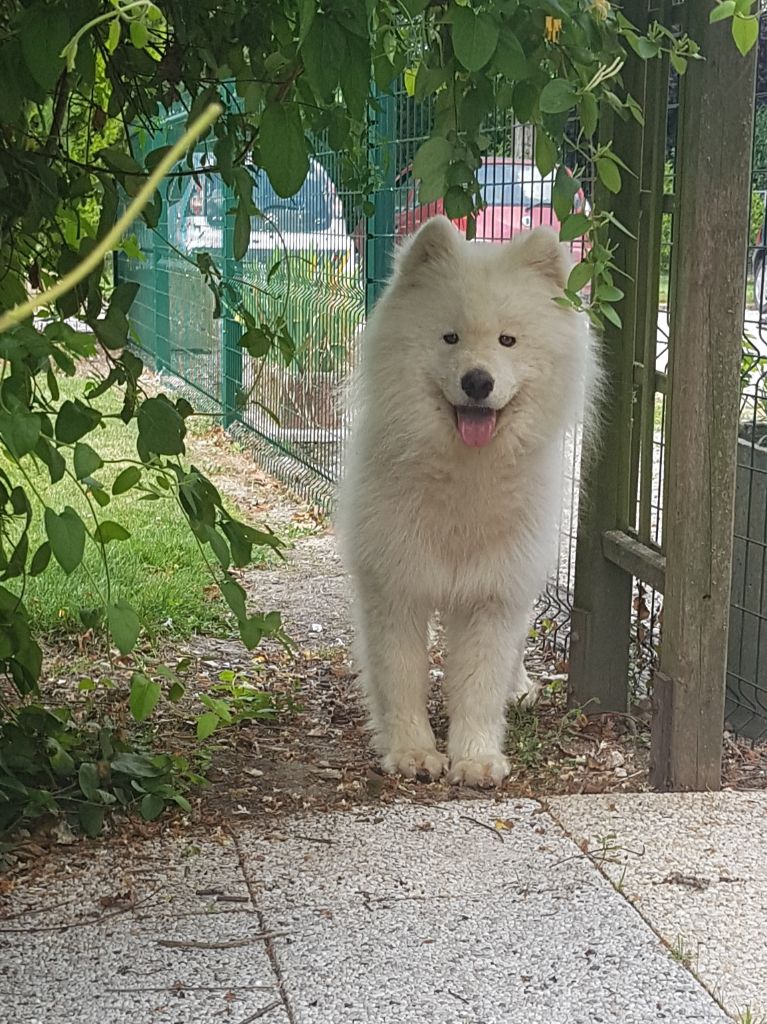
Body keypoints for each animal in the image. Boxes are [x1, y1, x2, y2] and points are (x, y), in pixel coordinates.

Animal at [336, 216, 597, 787]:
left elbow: (479, 685)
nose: (478, 381)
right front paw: (412, 752)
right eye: (450, 336)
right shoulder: (396, 586)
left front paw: (476, 758)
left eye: (508, 340)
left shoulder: (495, 594)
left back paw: (519, 689)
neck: (464, 477)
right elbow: (401, 677)